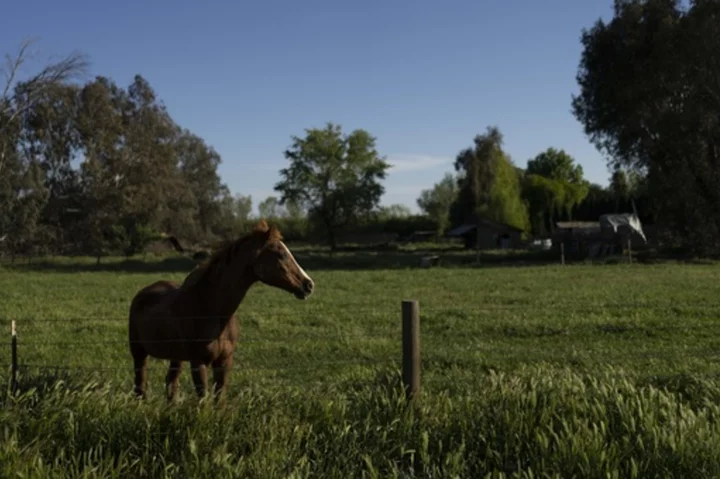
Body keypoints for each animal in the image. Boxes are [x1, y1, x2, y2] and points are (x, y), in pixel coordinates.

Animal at [128, 220, 314, 402]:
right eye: (281, 255)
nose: (309, 285)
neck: (213, 310)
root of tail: (142, 293)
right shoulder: (198, 363)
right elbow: (204, 400)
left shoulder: (224, 361)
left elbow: (219, 399)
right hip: (139, 353)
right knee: (140, 385)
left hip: (176, 357)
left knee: (171, 383)